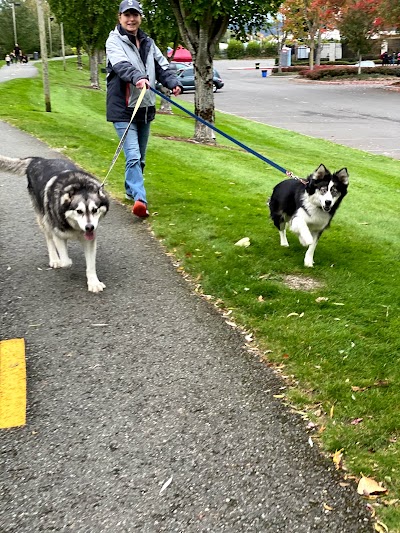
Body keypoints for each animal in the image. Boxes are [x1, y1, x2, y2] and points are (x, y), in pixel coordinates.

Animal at [0, 156, 109, 290]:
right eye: (79, 211)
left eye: (95, 210)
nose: (89, 227)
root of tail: (38, 160)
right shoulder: (57, 233)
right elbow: (66, 262)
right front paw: (64, 260)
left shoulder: (89, 239)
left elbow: (91, 265)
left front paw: (94, 283)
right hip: (44, 219)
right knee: (49, 240)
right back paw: (55, 259)